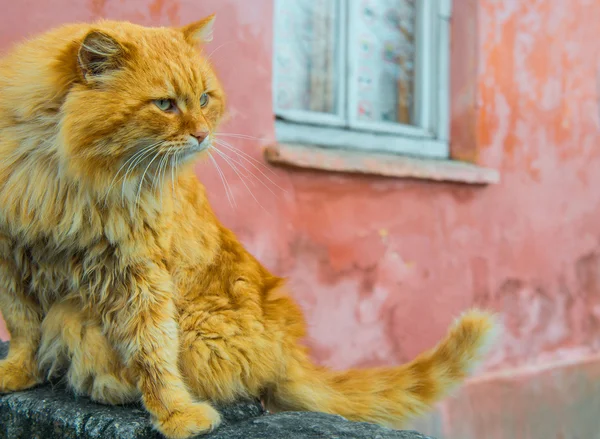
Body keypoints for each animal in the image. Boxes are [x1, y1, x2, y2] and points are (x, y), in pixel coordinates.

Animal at [0, 16, 496, 439]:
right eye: (164, 105)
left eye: (204, 98)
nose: (202, 135)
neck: (60, 173)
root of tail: (287, 349)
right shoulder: (13, 258)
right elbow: (22, 330)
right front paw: (17, 374)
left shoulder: (137, 271)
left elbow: (153, 351)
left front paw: (176, 413)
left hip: (147, 320)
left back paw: (107, 384)